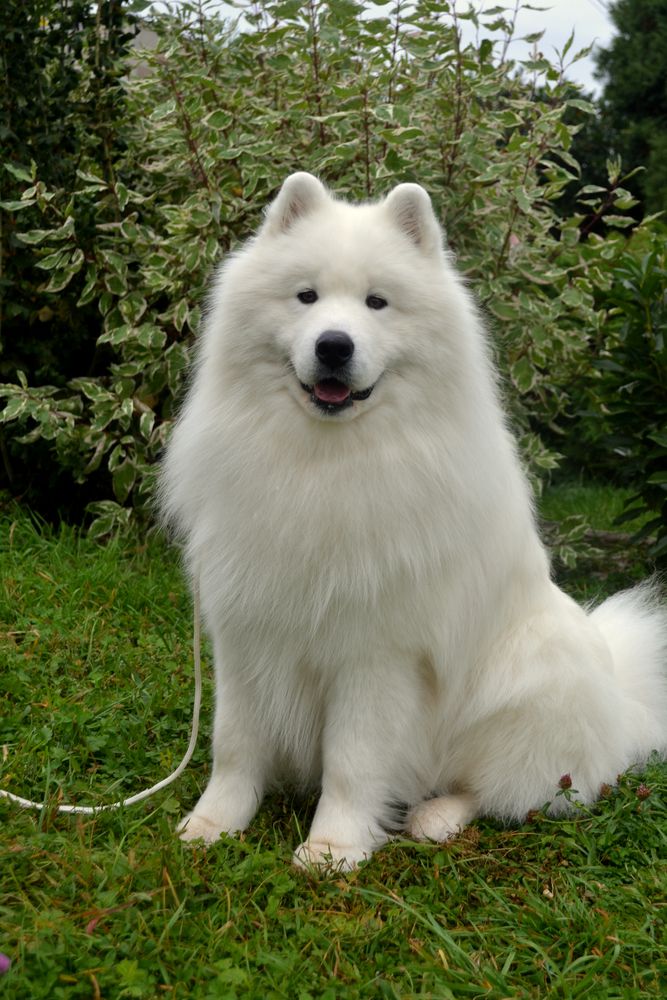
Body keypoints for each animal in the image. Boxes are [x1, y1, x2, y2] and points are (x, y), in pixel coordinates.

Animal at [162, 172, 667, 868]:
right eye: (306, 296)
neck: (325, 463)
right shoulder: (244, 632)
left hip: (529, 686)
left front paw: (333, 849)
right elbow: (233, 745)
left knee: (513, 791)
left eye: (377, 303)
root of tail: (624, 704)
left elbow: (352, 761)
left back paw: (436, 817)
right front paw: (212, 825)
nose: (334, 345)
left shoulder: (376, 655)